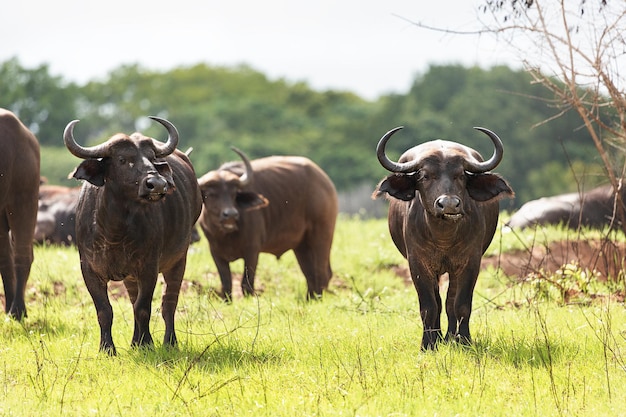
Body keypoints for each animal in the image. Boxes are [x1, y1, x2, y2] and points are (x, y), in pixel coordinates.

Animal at [64, 117, 200, 354]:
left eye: (153, 158)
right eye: (122, 159)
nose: (157, 184)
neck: (114, 232)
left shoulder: (149, 268)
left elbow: (143, 308)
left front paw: (146, 343)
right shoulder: (89, 269)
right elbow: (105, 310)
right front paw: (107, 348)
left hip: (178, 259)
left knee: (169, 303)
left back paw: (168, 342)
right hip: (130, 276)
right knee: (134, 298)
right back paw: (135, 342)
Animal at [199, 148, 336, 300]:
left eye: (234, 193)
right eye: (210, 194)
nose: (231, 214)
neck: (226, 235)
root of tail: (324, 180)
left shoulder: (252, 250)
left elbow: (246, 283)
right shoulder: (216, 252)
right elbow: (226, 284)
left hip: (322, 235)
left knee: (321, 272)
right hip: (301, 245)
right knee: (310, 274)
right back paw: (309, 300)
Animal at [370, 126, 512, 348]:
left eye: (461, 175)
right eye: (425, 176)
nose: (449, 204)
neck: (443, 237)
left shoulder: (470, 262)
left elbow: (460, 304)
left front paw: (463, 341)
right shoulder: (417, 263)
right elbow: (429, 306)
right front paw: (428, 344)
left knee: (450, 300)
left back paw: (450, 337)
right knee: (437, 301)